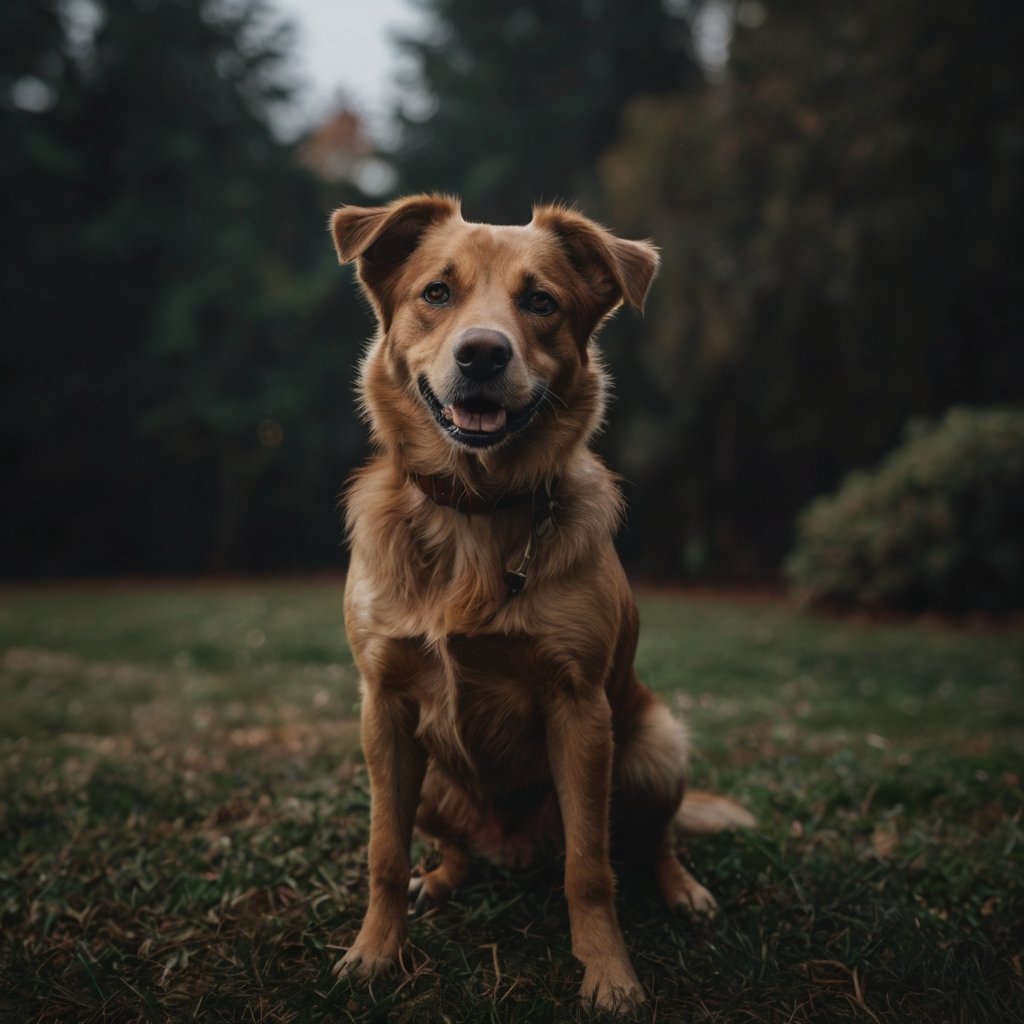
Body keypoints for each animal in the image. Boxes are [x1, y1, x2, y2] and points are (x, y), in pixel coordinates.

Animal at [329, 195, 753, 1011]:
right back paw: (442, 879)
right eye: (436, 292)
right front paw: (375, 952)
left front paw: (610, 976)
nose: (482, 355)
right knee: (453, 847)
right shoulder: (382, 707)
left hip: (653, 751)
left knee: (652, 842)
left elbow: (590, 869)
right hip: (433, 782)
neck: (475, 510)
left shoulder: (579, 709)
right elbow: (383, 852)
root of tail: (514, 849)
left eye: (542, 302)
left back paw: (684, 892)